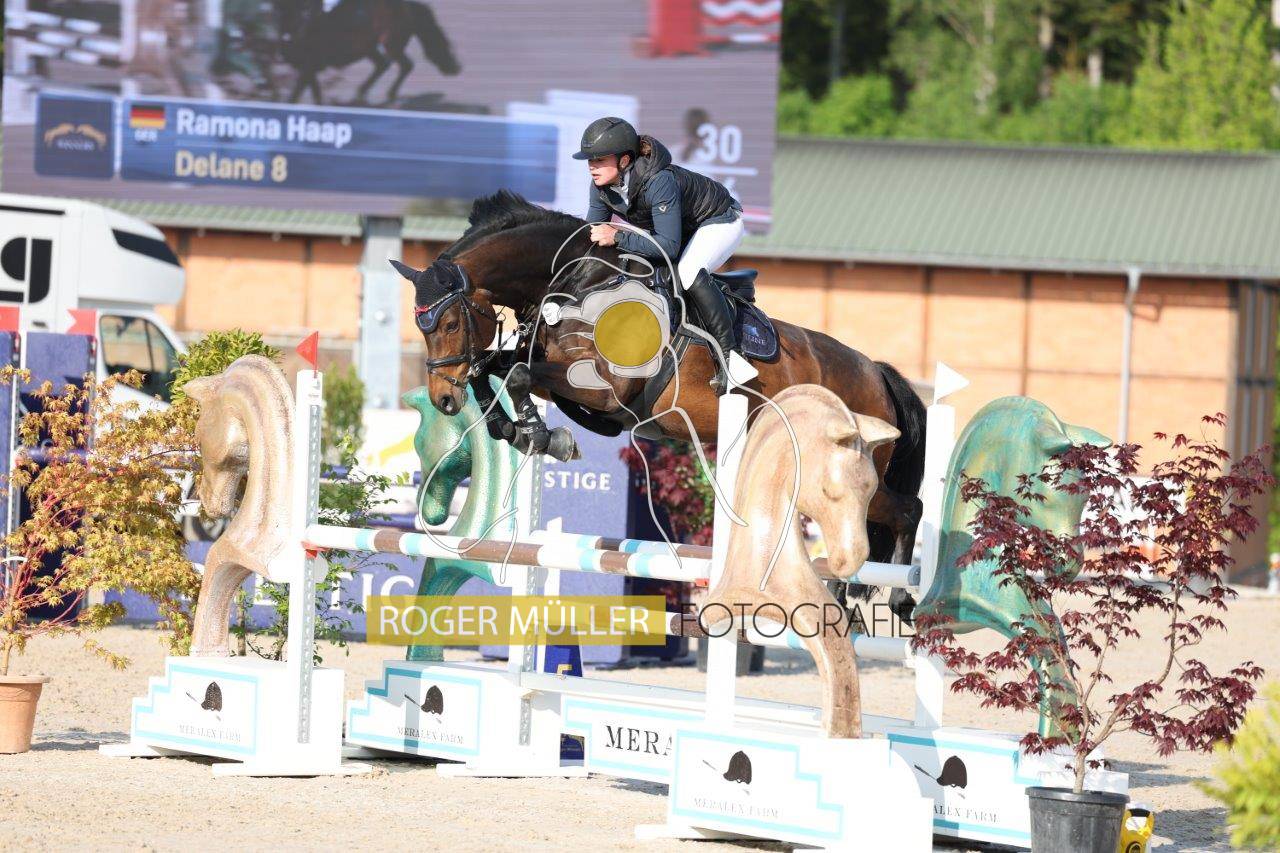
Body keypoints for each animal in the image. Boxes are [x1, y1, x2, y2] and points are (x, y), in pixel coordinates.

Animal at [277, 0, 461, 105]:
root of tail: (409, 5)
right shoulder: (308, 67)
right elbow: (313, 95)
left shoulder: (309, 65)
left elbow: (296, 95)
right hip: (370, 46)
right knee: (386, 65)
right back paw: (368, 94)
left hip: (391, 42)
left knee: (402, 65)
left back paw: (382, 94)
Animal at [389, 191, 928, 578]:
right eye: (421, 326)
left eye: (449, 324)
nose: (443, 398)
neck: (581, 283)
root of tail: (876, 371)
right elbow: (494, 369)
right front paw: (520, 431)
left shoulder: (602, 391)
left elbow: (516, 373)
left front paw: (543, 435)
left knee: (907, 509)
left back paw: (893, 596)